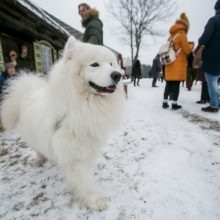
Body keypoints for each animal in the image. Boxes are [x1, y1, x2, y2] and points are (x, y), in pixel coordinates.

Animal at [0, 36, 124, 211]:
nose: (117, 75)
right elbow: (82, 181)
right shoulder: (74, 155)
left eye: (111, 64)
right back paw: (40, 160)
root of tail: (27, 92)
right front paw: (93, 201)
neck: (84, 104)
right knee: (38, 149)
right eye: (94, 64)